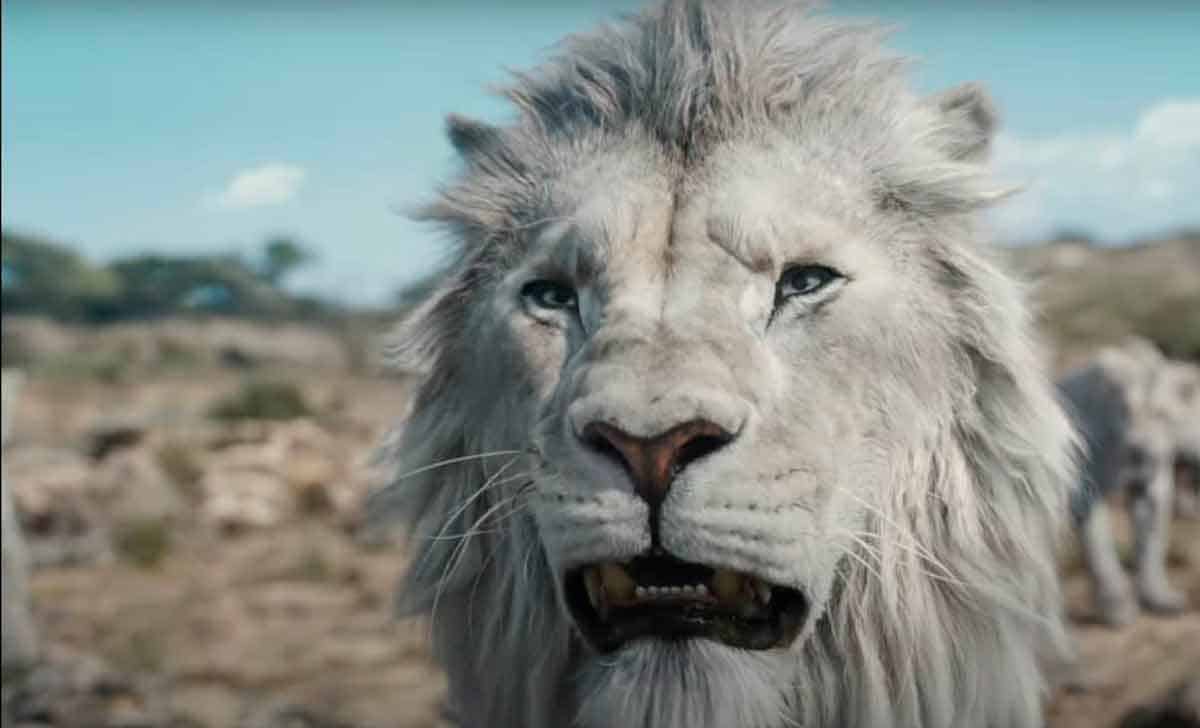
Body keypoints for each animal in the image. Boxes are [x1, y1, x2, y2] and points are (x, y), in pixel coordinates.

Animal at [1060, 339, 1200, 625]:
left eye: (1161, 414)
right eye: (1126, 411)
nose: (1138, 449)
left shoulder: (1152, 487)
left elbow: (1151, 542)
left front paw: (1158, 599)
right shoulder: (1087, 493)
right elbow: (1100, 549)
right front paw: (1117, 609)